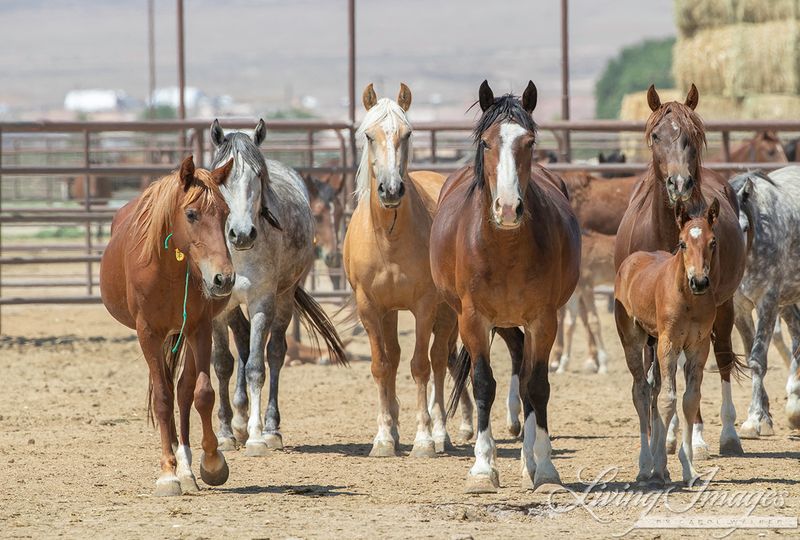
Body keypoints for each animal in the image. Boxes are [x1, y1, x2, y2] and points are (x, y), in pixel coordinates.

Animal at [99, 154, 234, 496]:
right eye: (191, 214)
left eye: (225, 213)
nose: (223, 278)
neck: (169, 268)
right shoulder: (148, 333)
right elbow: (161, 399)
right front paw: (167, 474)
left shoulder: (200, 328)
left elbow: (202, 393)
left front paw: (212, 463)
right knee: (168, 390)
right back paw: (176, 463)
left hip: (184, 334)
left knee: (184, 390)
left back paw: (187, 466)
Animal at [208, 119, 346, 456]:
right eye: (221, 177)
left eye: (258, 175)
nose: (242, 233)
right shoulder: (219, 306)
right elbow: (223, 363)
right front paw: (225, 434)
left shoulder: (262, 301)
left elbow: (257, 367)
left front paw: (257, 438)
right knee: (242, 342)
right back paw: (239, 421)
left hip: (284, 297)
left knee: (274, 353)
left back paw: (269, 428)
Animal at [432, 81, 580, 494]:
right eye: (486, 143)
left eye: (528, 142)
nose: (509, 208)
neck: (505, 247)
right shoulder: (473, 318)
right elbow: (484, 384)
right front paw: (483, 468)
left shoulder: (544, 319)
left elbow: (538, 386)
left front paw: (544, 468)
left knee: (525, 374)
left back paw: (528, 458)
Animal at [616, 198, 720, 486]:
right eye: (682, 243)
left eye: (713, 242)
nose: (699, 281)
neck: (689, 300)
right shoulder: (669, 345)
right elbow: (668, 400)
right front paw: (659, 467)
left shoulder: (698, 348)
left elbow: (689, 400)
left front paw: (689, 469)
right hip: (635, 341)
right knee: (641, 392)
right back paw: (646, 466)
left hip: (654, 344)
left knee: (653, 389)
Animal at [732, 169, 800, 434]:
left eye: (744, 227)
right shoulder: (739, 309)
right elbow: (750, 356)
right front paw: (763, 415)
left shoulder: (767, 303)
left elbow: (758, 360)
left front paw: (754, 420)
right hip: (787, 299)